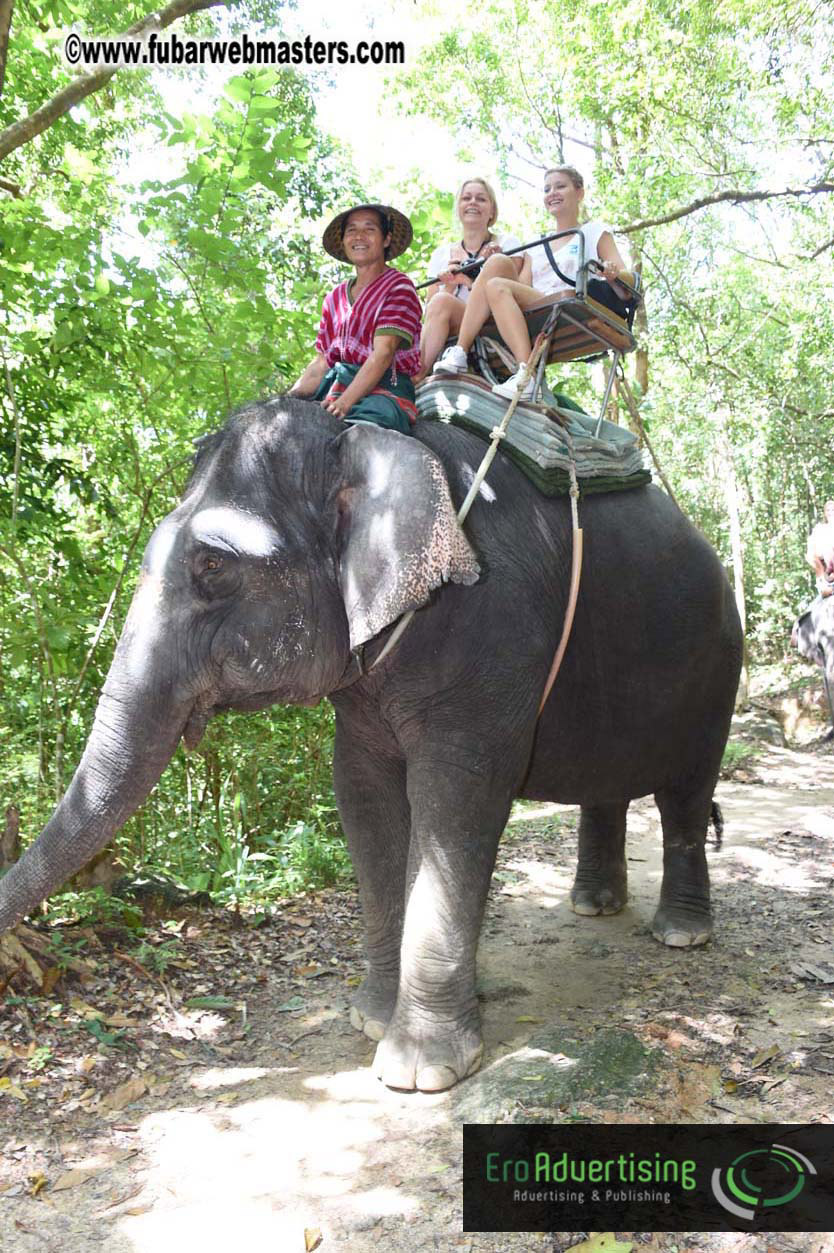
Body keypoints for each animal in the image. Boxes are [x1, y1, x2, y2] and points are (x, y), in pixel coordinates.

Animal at [0, 399, 743, 1092]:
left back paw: (681, 933)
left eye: (213, 565)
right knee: (607, 786)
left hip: (718, 668)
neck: (369, 436)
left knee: (685, 795)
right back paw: (594, 906)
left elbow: (457, 800)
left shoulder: (494, 631)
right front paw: (370, 1020)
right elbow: (364, 799)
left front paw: (420, 1070)